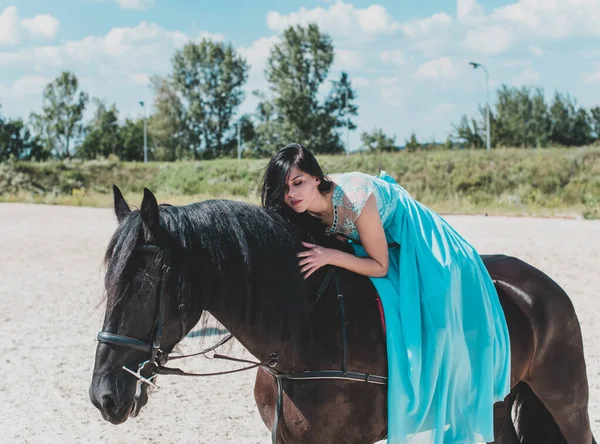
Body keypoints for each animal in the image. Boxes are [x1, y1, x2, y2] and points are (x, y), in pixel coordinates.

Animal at [89, 187, 596, 444]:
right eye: (108, 284)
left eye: (144, 286)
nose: (103, 396)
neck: (299, 338)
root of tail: (541, 285)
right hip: (492, 403)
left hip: (566, 400)